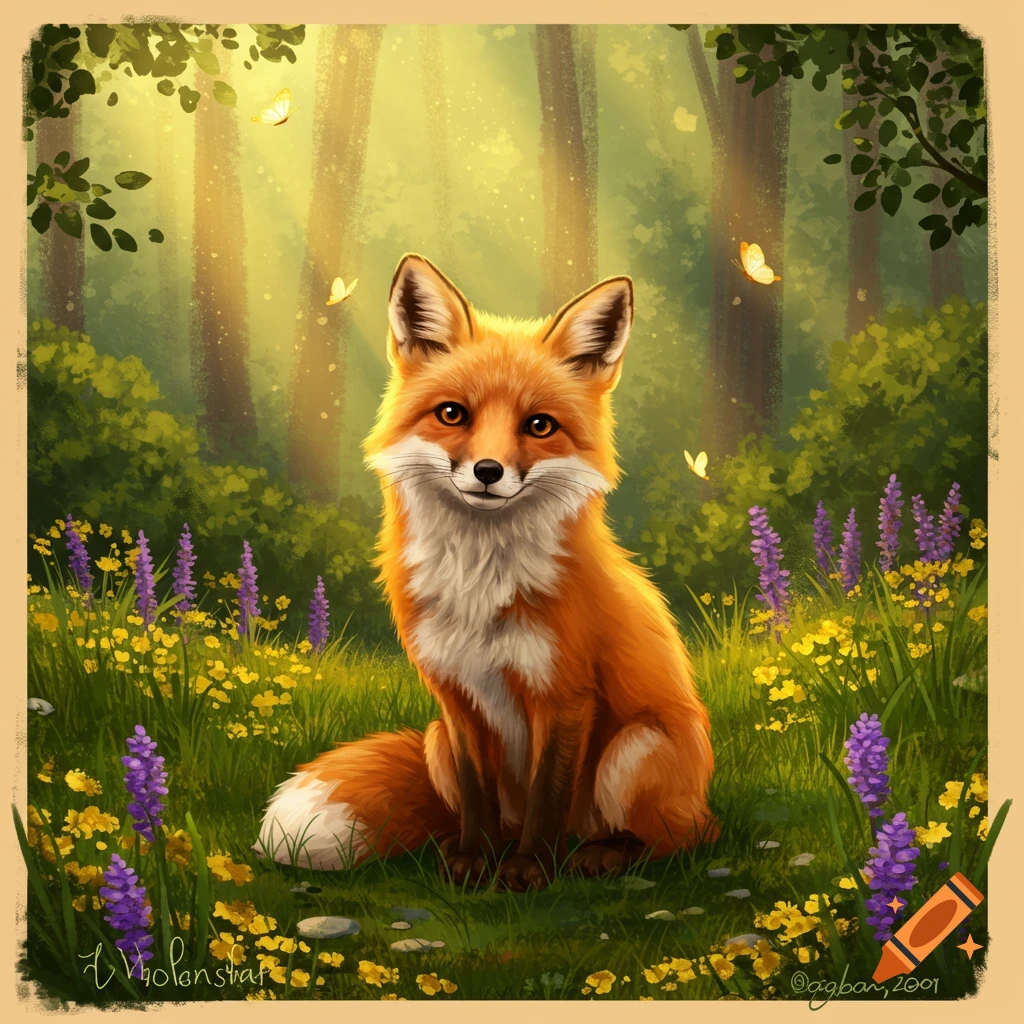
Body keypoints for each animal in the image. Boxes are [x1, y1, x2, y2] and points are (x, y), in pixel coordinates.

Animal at [256, 254, 717, 890]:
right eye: (453, 414)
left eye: (540, 425)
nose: (488, 471)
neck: (480, 583)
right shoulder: (455, 697)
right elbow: (477, 798)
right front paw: (474, 860)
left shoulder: (565, 695)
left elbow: (549, 795)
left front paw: (531, 869)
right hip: (436, 745)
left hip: (633, 750)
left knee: (682, 837)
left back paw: (600, 854)